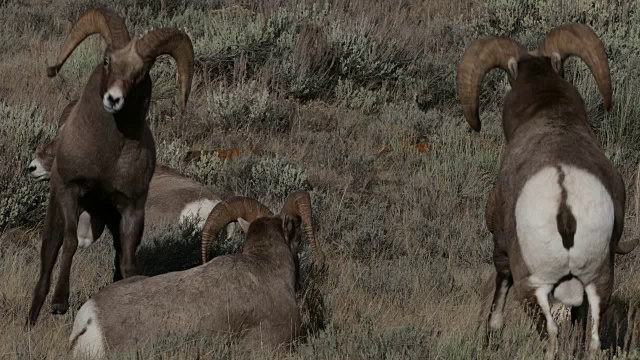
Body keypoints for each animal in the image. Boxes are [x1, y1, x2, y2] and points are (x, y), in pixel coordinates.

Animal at [28, 7, 192, 326]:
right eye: (107, 61)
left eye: (142, 73)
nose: (113, 99)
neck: (107, 158)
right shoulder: (70, 191)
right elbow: (70, 243)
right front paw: (60, 303)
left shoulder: (131, 209)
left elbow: (127, 264)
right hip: (56, 212)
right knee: (48, 259)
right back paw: (31, 321)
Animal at [460, 23, 640, 358]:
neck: (549, 112)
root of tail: (565, 204)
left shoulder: (501, 246)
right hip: (598, 279)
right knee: (591, 336)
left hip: (534, 283)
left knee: (551, 332)